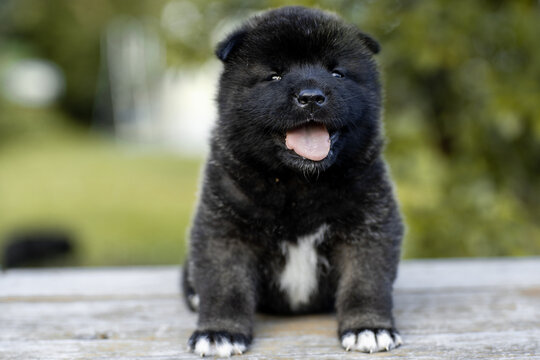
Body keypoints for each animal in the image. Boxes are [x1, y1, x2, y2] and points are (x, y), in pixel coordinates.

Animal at [184, 6, 402, 358]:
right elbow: (225, 285)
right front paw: (219, 332)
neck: (298, 182)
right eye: (275, 75)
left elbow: (365, 280)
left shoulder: (369, 225)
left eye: (337, 73)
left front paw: (368, 327)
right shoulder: (225, 231)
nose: (311, 97)